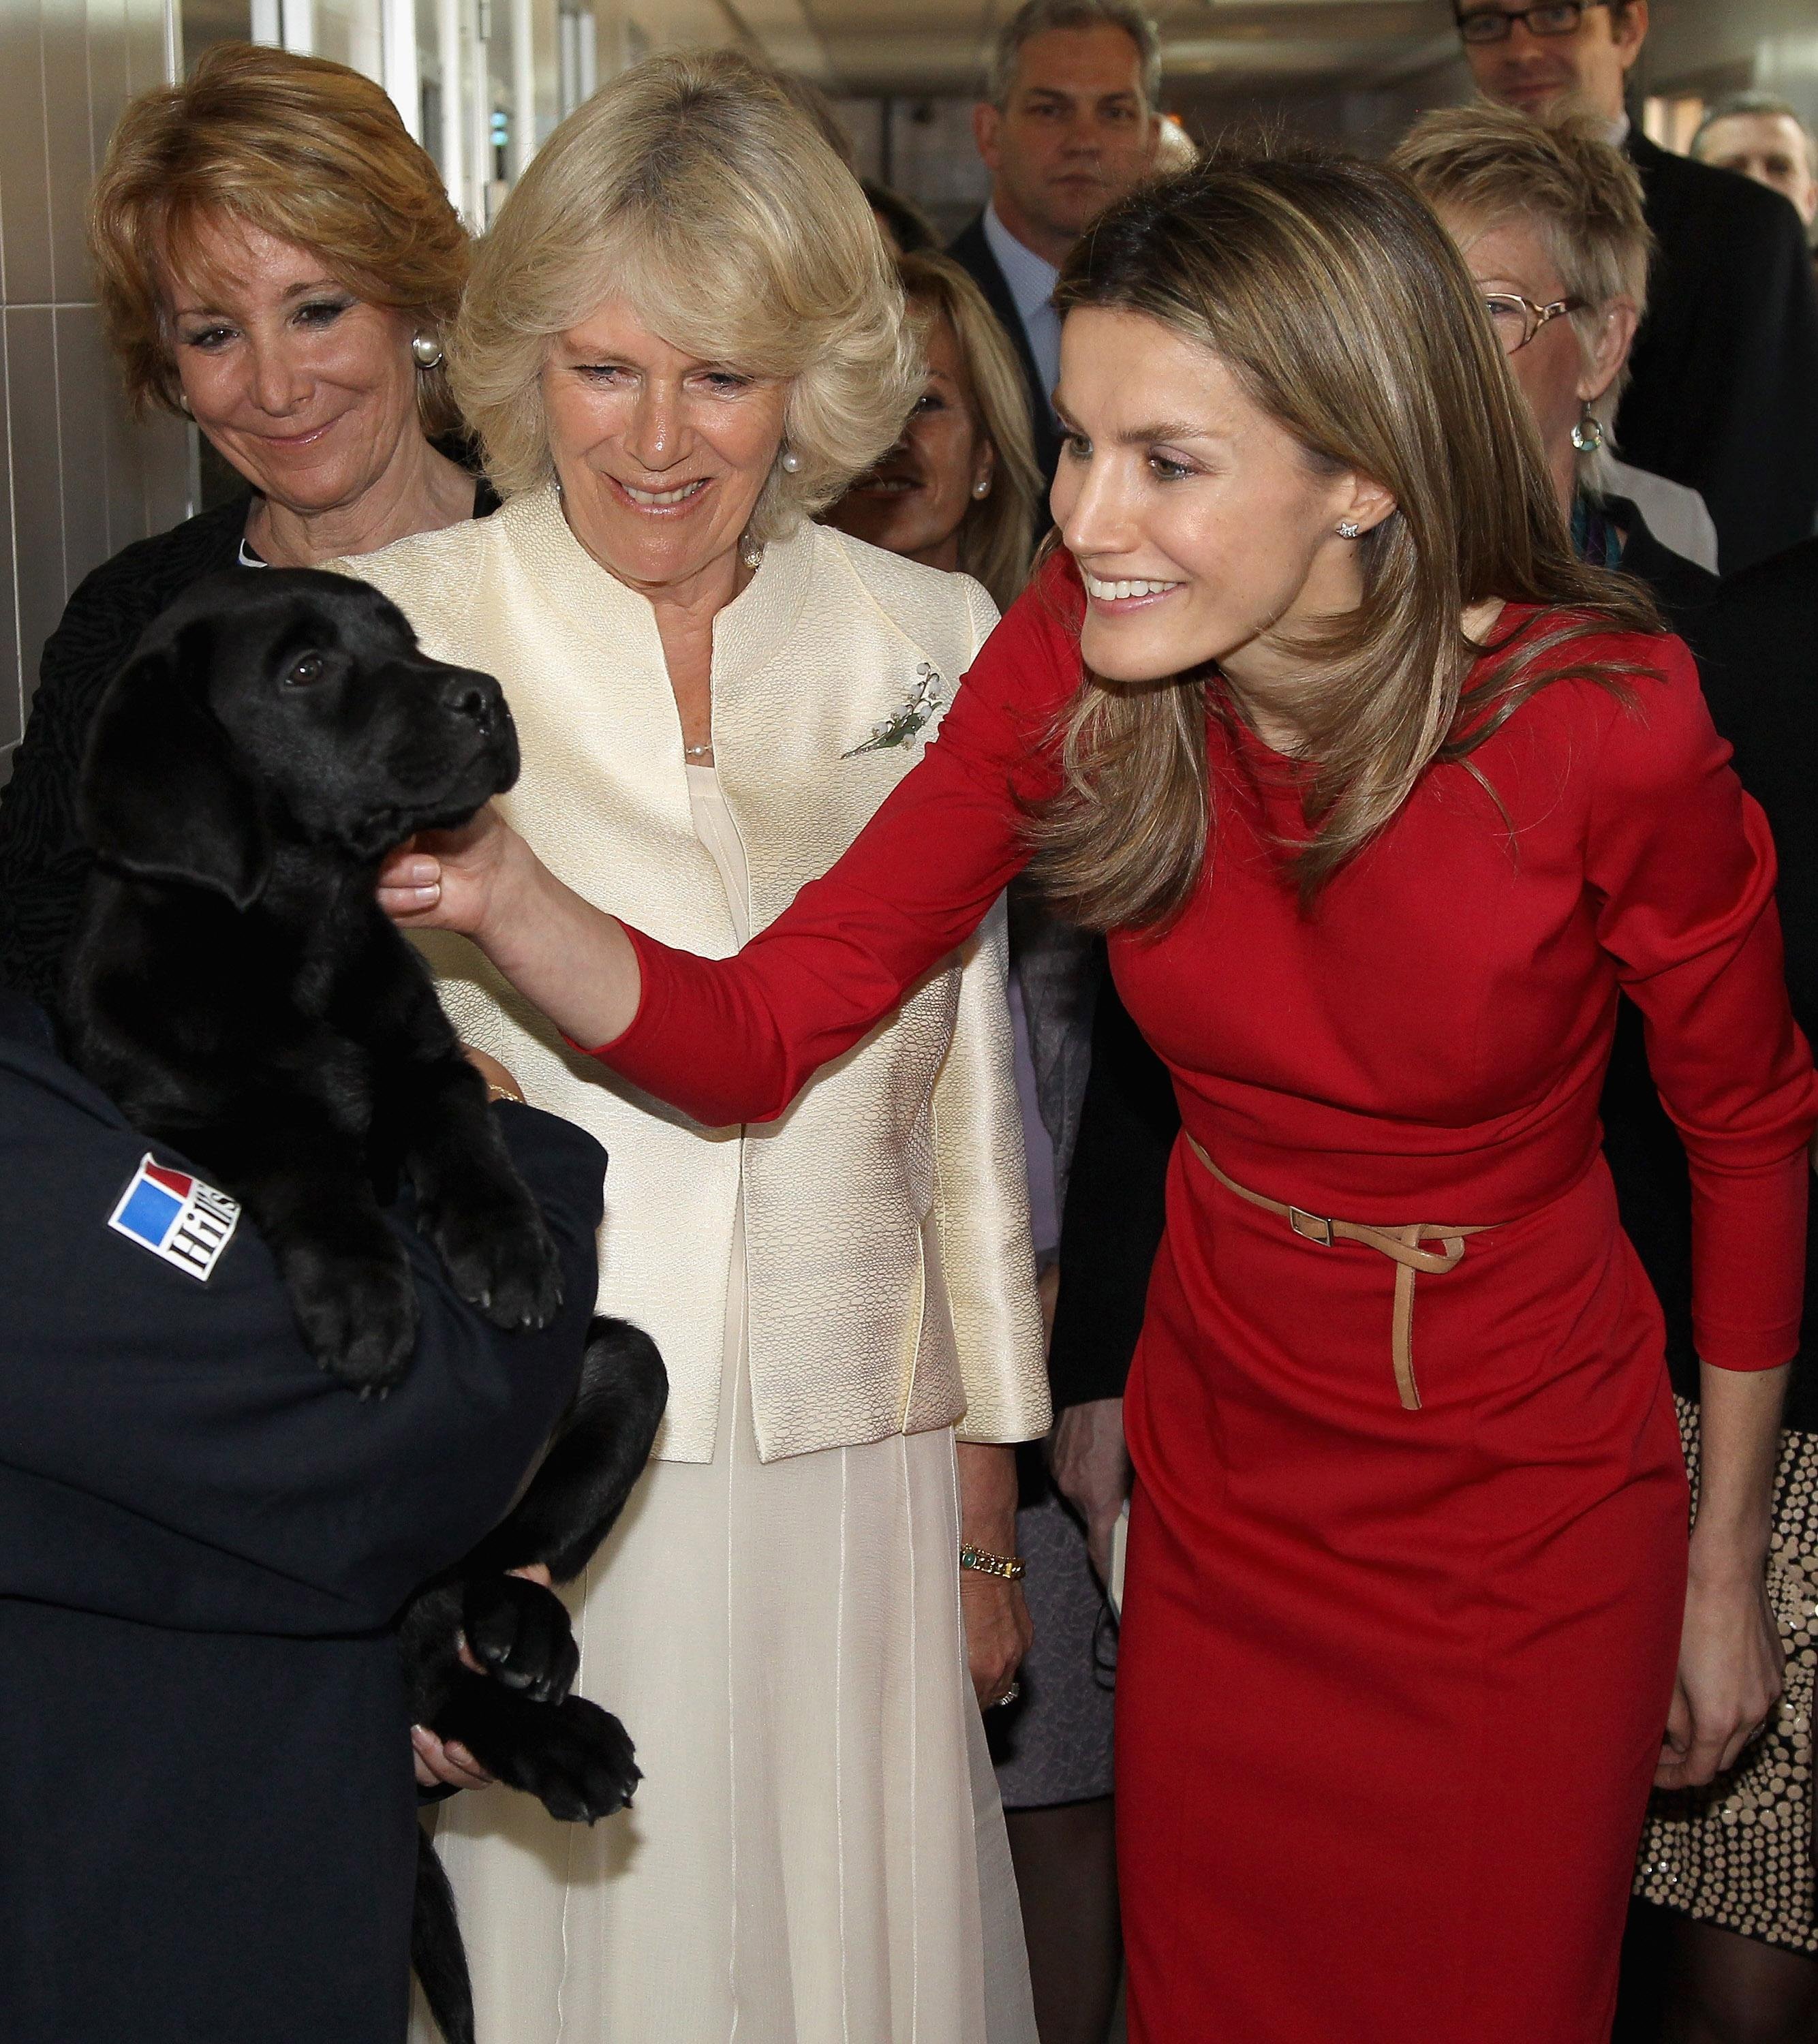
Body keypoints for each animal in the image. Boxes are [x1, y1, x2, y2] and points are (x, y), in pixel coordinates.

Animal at [65, 560, 560, 1390]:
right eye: (307, 669)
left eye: (407, 641)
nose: (486, 696)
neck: (317, 936)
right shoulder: (185, 1113)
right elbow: (304, 1153)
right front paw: (362, 1294)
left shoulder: (433, 1061)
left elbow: (467, 1133)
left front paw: (508, 1245)